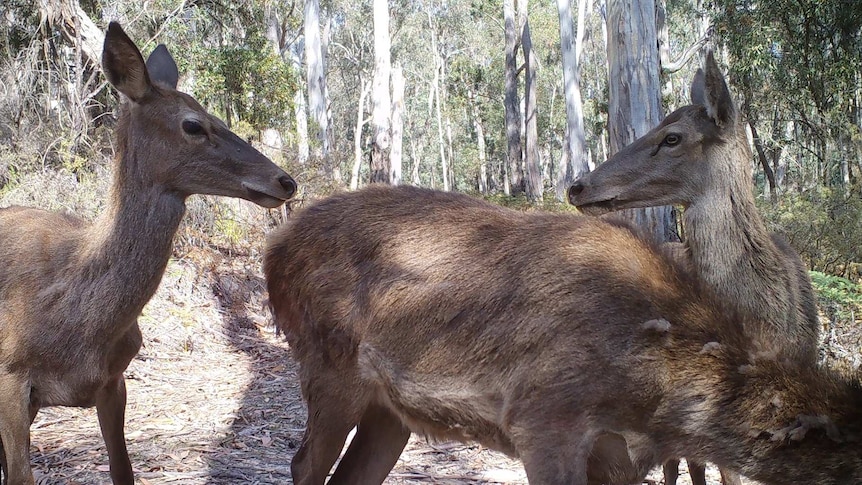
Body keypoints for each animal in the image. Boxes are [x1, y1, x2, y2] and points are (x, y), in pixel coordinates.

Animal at [0, 23, 296, 484]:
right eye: (193, 125)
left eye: (218, 116)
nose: (286, 181)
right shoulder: (10, 379)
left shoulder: (114, 378)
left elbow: (124, 470)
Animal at [264, 184, 862, 484]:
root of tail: (275, 249)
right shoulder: (543, 416)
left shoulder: (617, 459)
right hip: (329, 367)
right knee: (303, 464)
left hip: (392, 411)